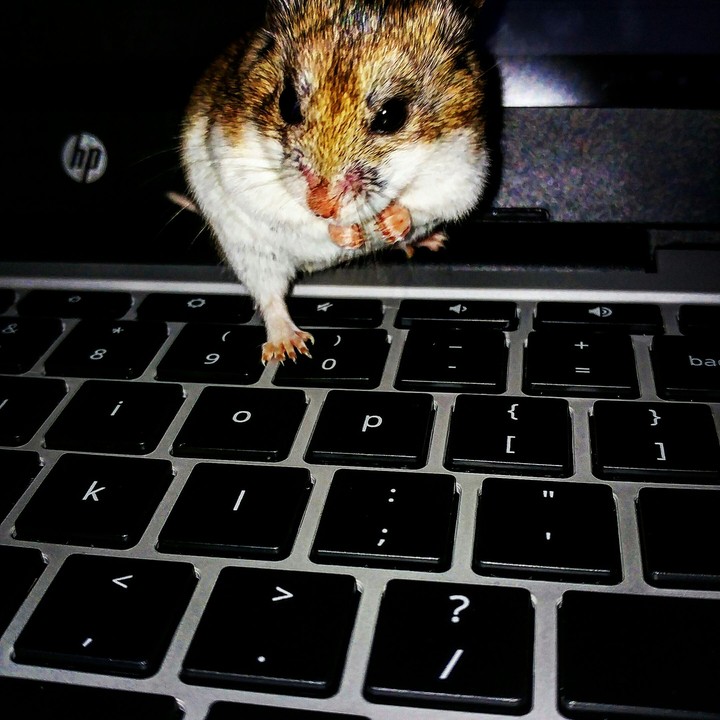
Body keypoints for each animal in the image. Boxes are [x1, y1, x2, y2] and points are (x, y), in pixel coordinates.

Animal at [182, 0, 489, 363]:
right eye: (287, 103)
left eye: (391, 115)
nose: (322, 207)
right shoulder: (239, 167)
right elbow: (301, 220)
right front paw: (350, 235)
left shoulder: (463, 173)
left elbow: (419, 205)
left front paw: (388, 225)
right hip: (248, 251)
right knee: (270, 297)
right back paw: (290, 347)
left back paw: (428, 241)